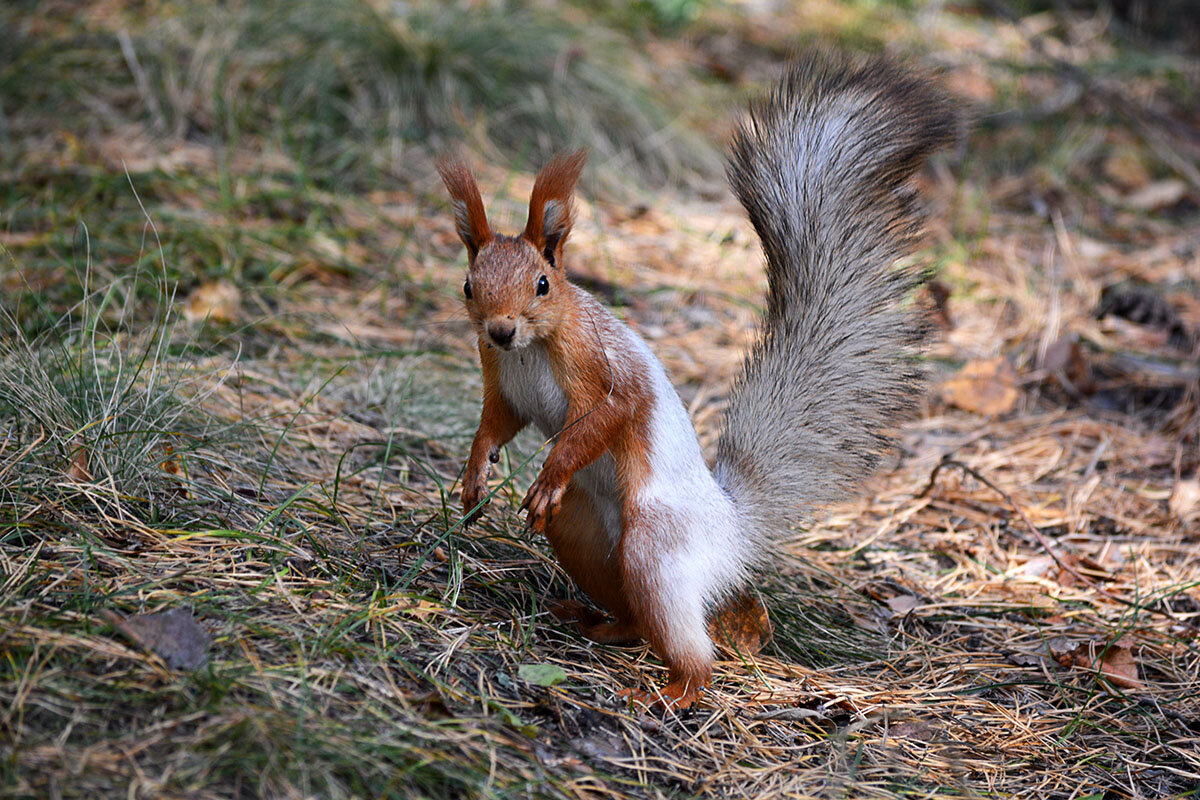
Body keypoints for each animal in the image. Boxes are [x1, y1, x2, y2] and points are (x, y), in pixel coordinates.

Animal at [436, 53, 950, 710]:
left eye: (543, 284)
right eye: (469, 285)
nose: (501, 330)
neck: (528, 351)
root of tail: (728, 529)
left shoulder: (598, 365)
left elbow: (608, 414)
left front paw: (550, 472)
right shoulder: (501, 381)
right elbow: (496, 423)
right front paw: (475, 473)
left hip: (656, 547)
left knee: (688, 643)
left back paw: (674, 691)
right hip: (585, 535)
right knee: (633, 613)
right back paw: (598, 622)